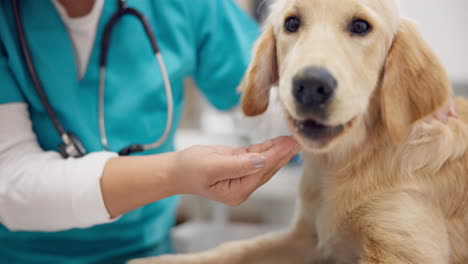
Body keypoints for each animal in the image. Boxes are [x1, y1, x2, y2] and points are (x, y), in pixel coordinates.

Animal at [130, 0, 466, 262]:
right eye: (292, 23)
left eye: (360, 26)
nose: (311, 86)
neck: (349, 160)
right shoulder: (307, 239)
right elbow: (238, 248)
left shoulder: (403, 250)